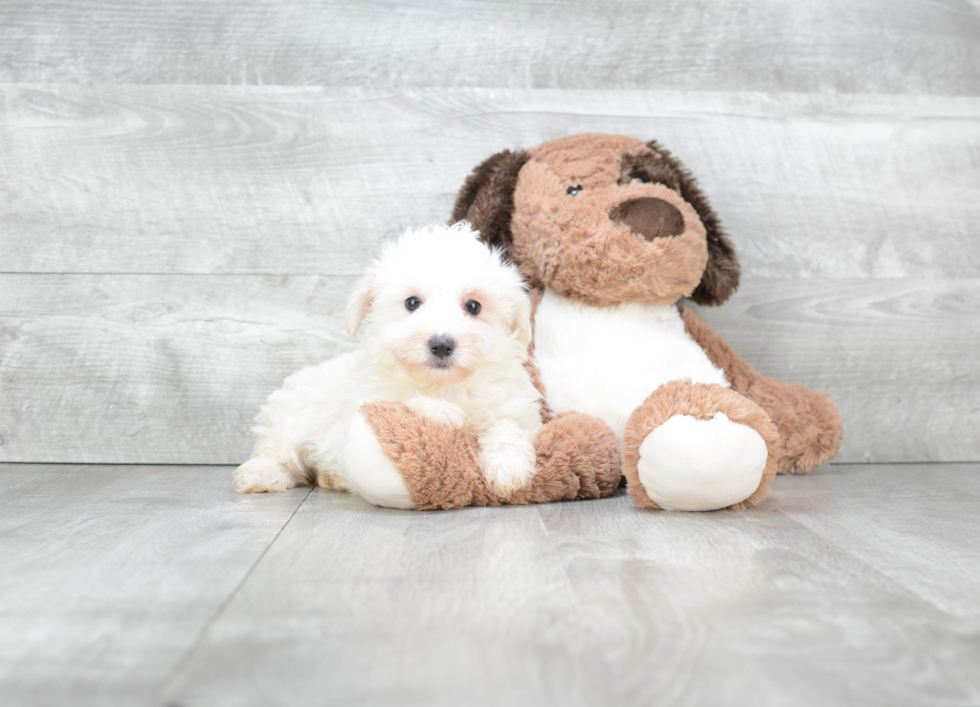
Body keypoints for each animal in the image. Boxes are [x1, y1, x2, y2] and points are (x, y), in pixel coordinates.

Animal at [236, 224, 544, 506]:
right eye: (412, 303)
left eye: (473, 307)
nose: (441, 344)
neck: (442, 384)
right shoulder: (366, 402)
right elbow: (405, 401)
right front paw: (444, 412)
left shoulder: (514, 405)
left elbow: (508, 426)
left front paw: (507, 469)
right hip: (293, 417)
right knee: (277, 451)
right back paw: (261, 474)